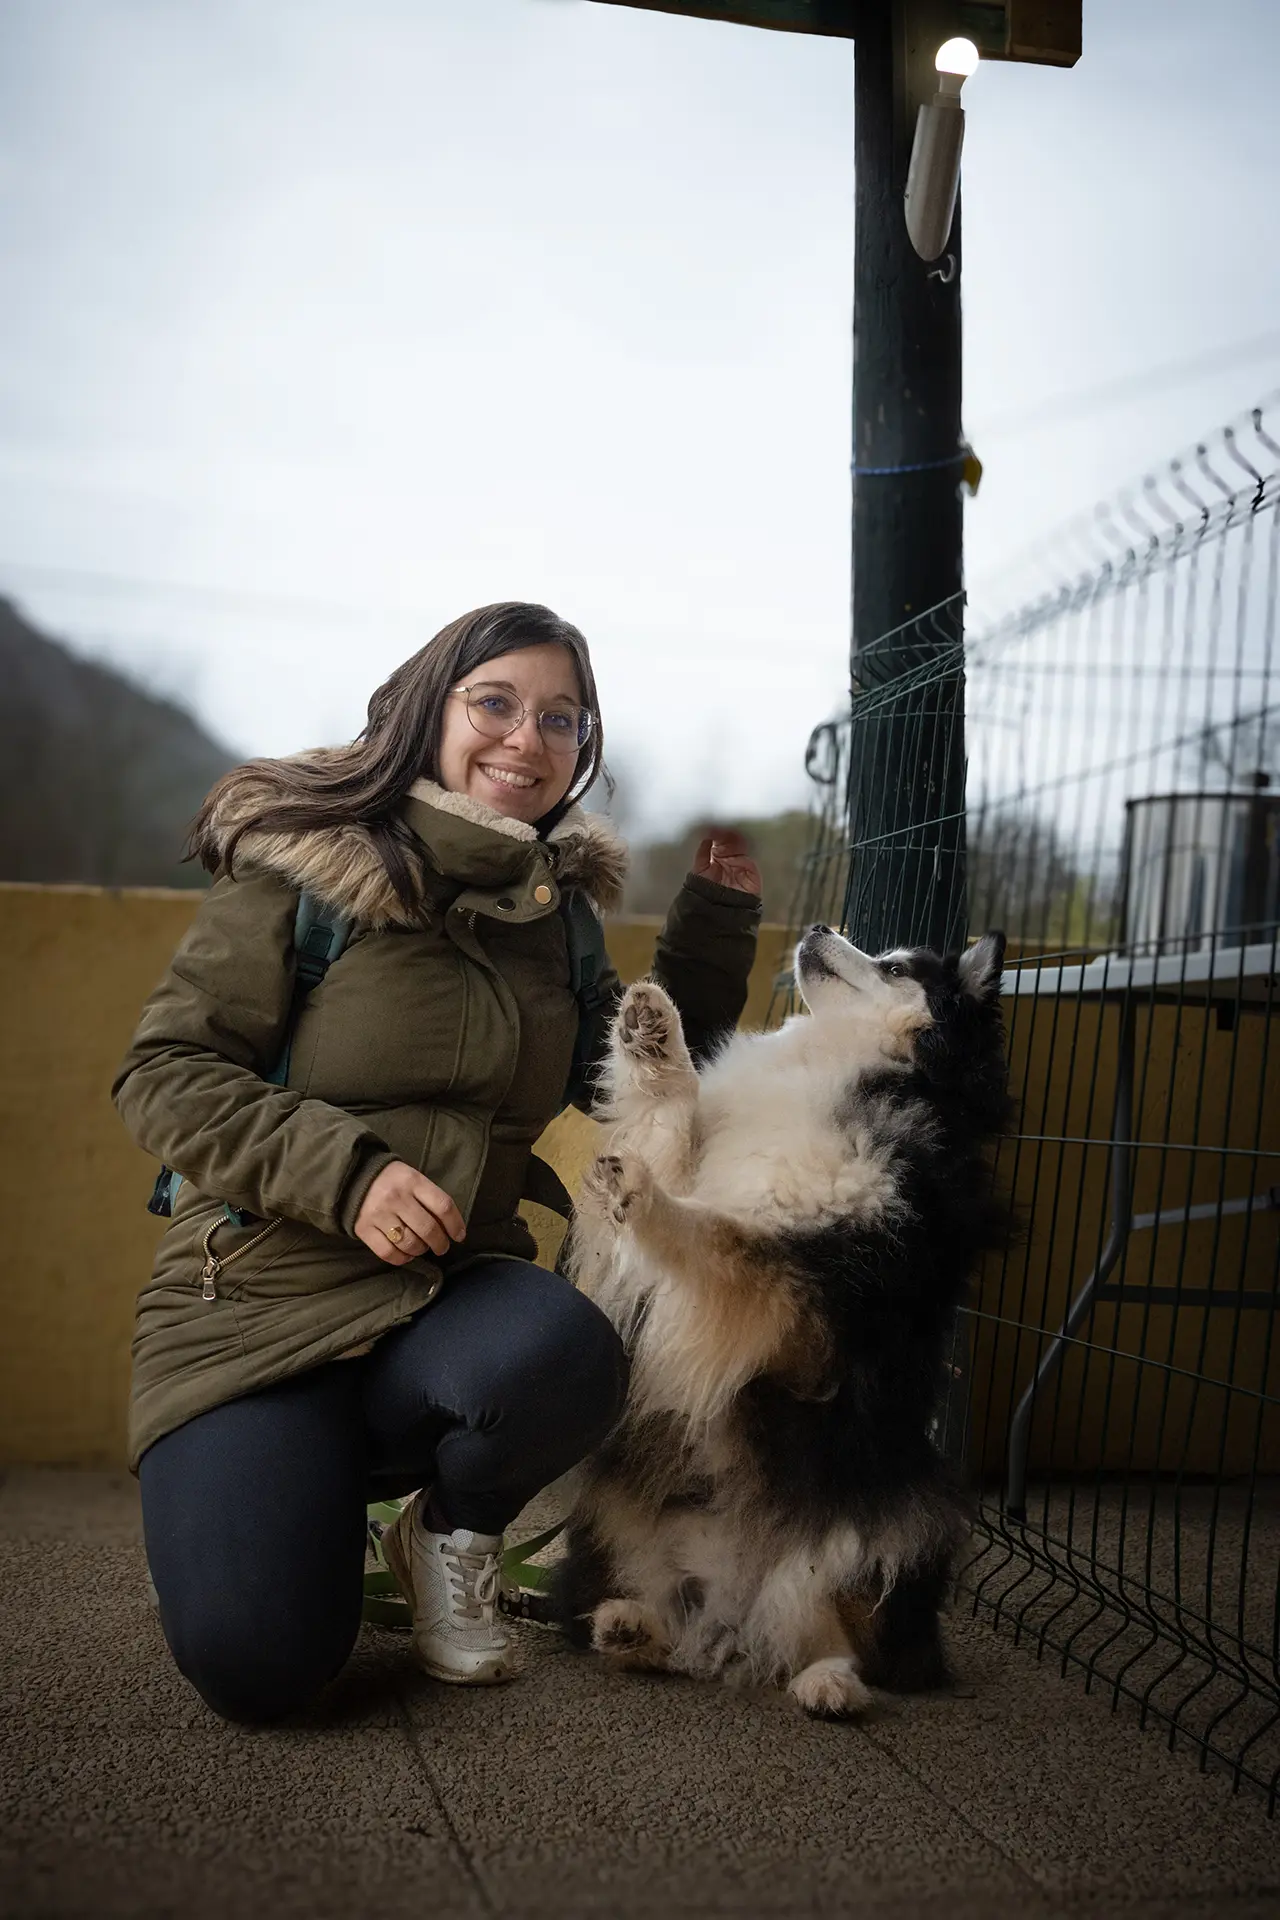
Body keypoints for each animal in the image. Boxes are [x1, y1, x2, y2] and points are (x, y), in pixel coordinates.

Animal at [555, 922, 1012, 1718]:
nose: (821, 927)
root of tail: (731, 1611)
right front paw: (652, 1034)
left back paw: (829, 1685)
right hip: (616, 1519)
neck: (842, 1066)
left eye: (896, 966)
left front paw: (649, 1200)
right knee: (672, 1623)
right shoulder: (705, 1171)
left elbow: (719, 1232)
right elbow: (674, 1121)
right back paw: (631, 1628)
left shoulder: (802, 1300)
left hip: (896, 1529)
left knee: (845, 1638)